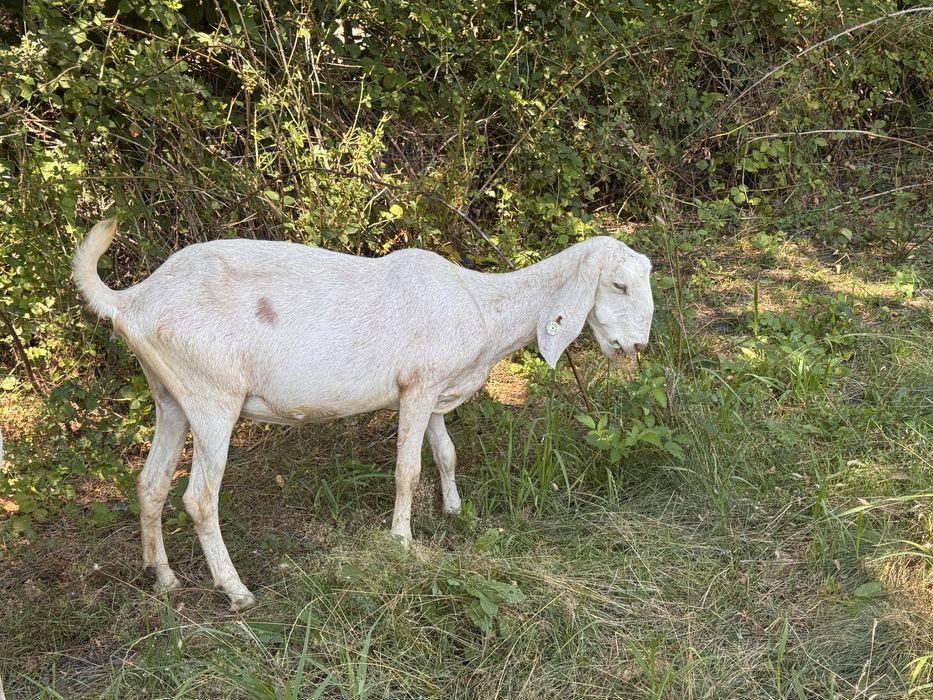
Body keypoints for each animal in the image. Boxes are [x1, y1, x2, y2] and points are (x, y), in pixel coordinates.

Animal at [73, 218, 654, 611]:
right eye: (619, 285)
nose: (637, 346)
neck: (479, 303)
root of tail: (132, 301)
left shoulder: (431, 389)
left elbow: (446, 453)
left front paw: (454, 511)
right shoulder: (419, 387)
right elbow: (408, 469)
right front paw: (401, 543)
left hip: (170, 397)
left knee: (150, 484)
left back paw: (164, 577)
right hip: (212, 395)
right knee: (198, 499)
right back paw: (236, 591)